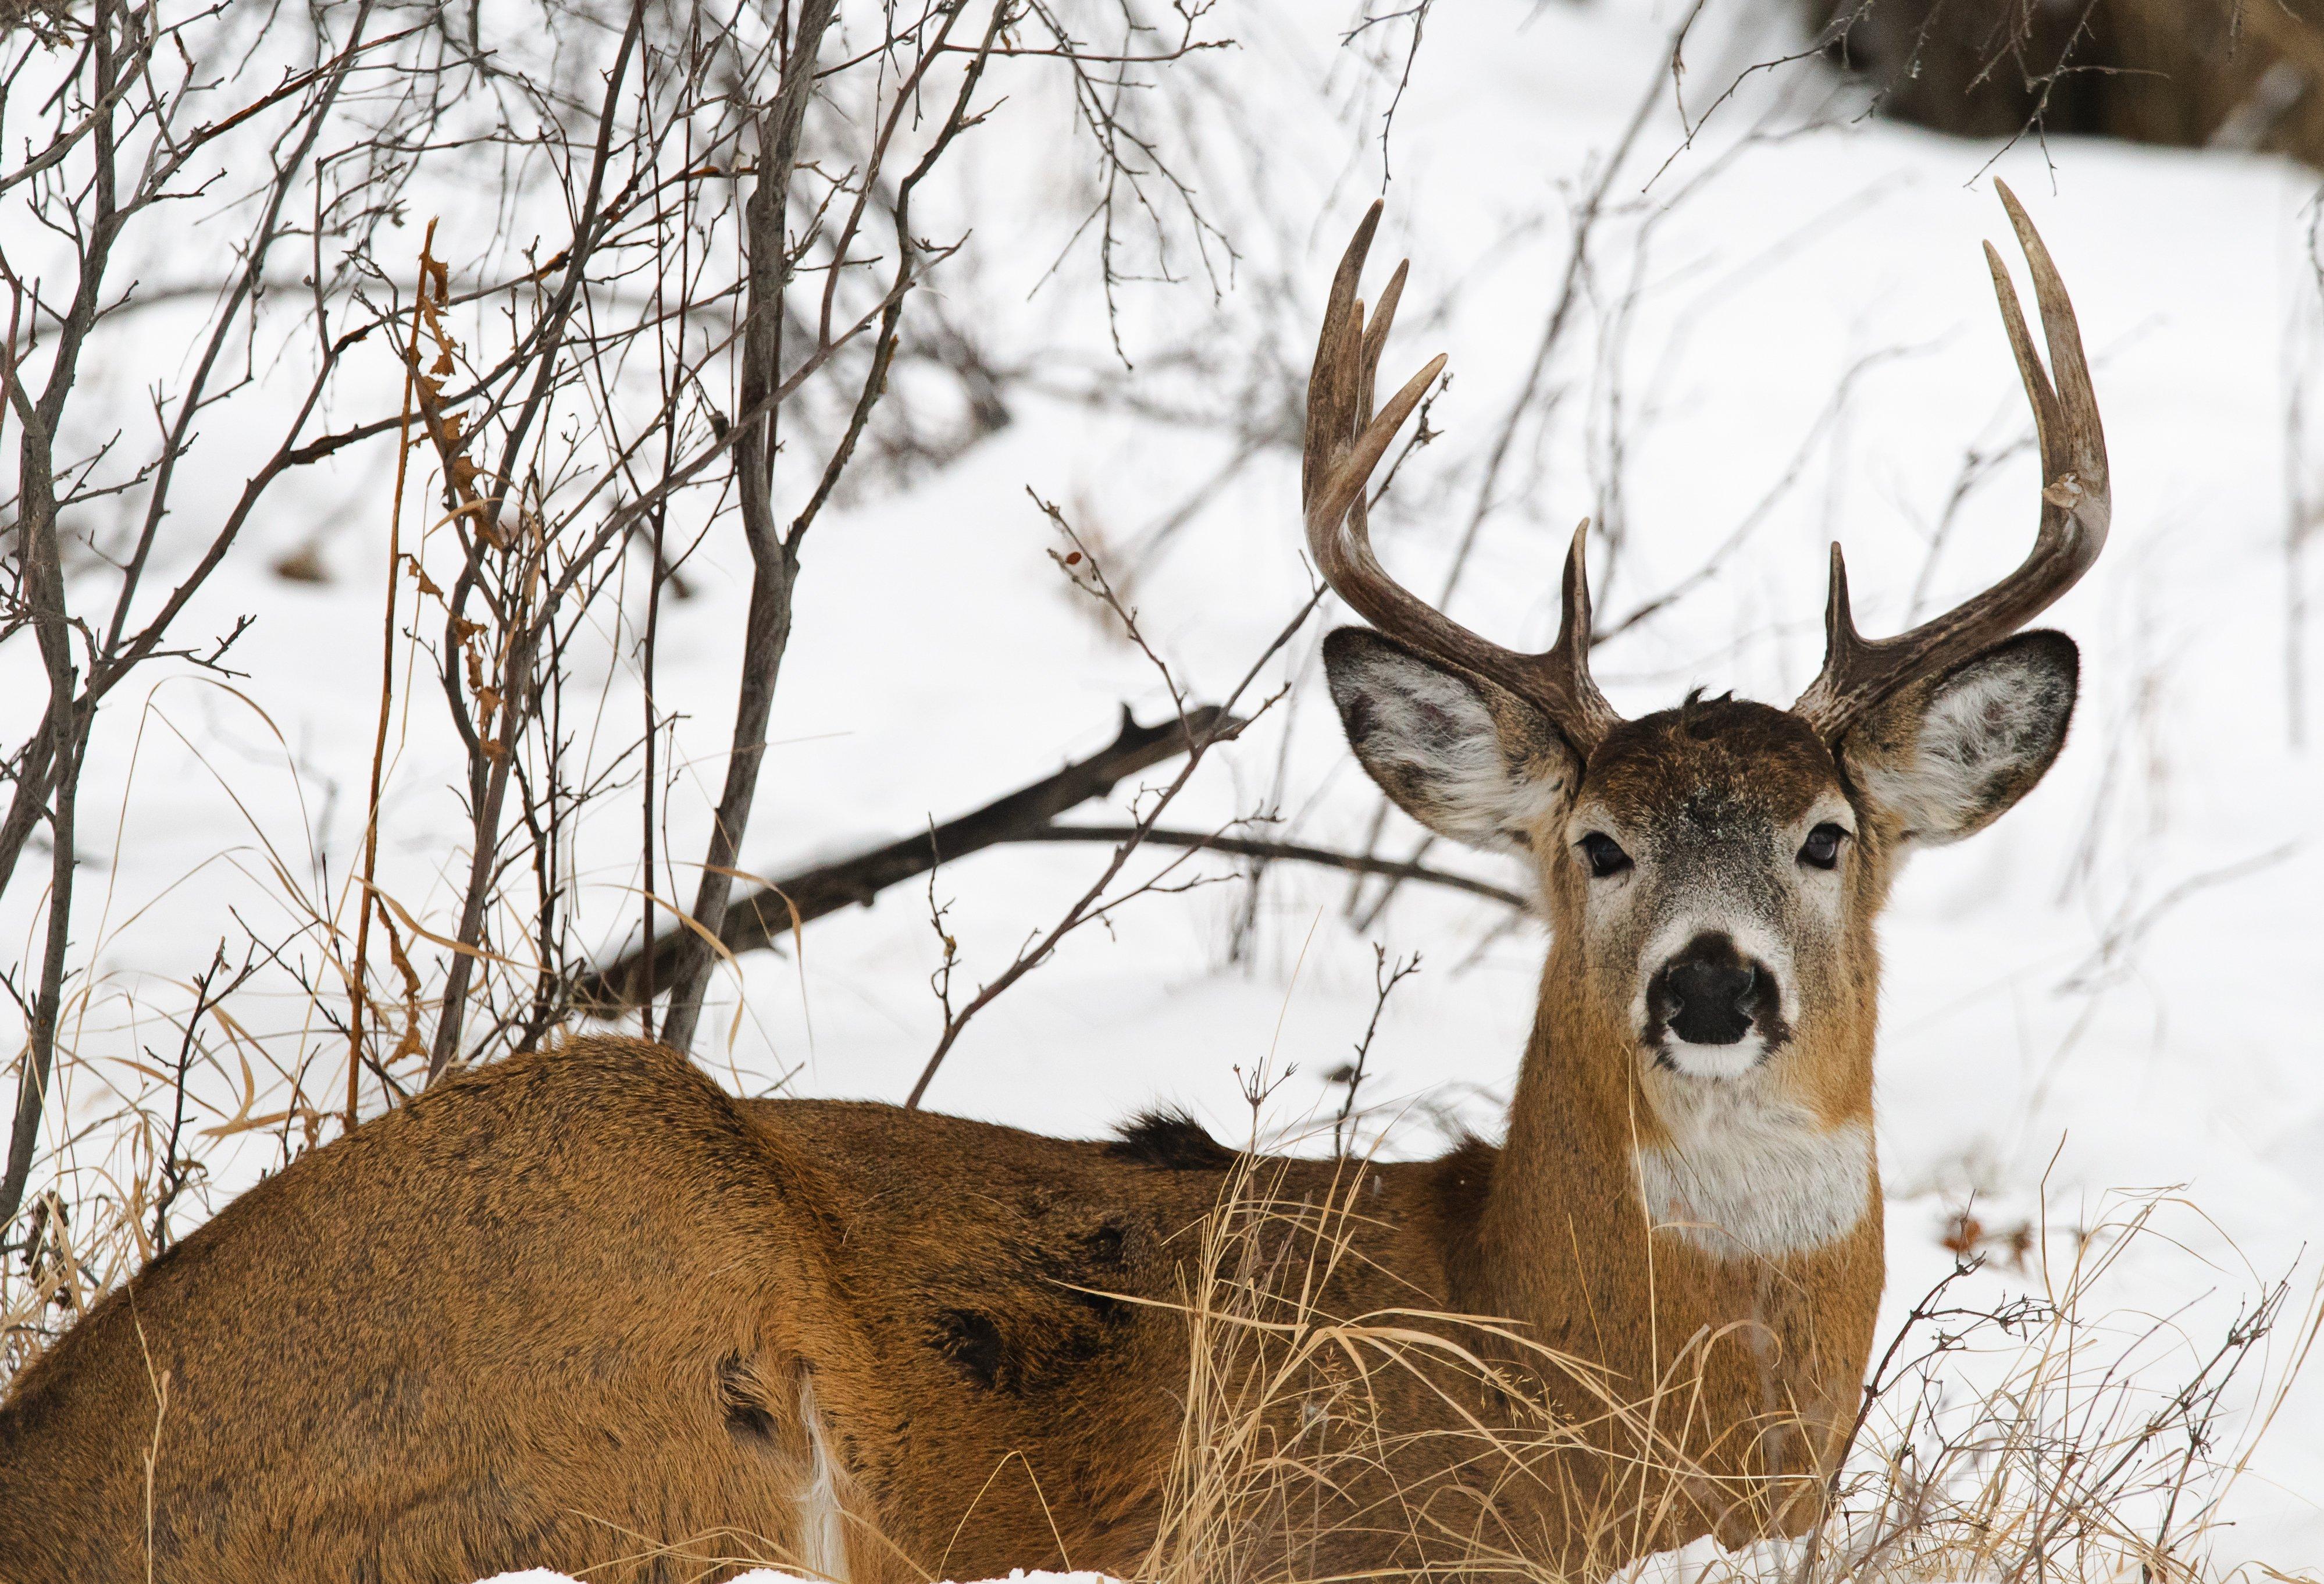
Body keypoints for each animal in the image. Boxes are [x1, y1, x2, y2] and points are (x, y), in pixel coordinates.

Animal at [0, 188, 2110, 1582]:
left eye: (1825, 835)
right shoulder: (1306, 1534)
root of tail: (53, 1453)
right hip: (654, 1348)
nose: (1708, 984)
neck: (1579, 1367)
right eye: (1592, 844)